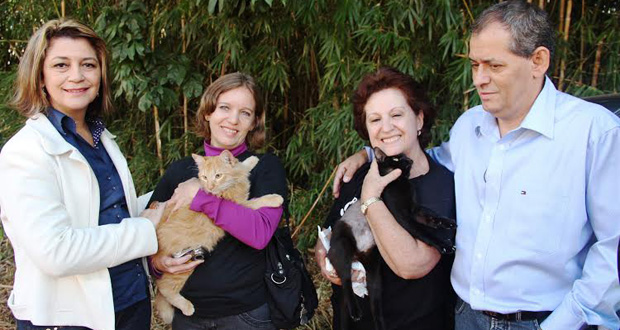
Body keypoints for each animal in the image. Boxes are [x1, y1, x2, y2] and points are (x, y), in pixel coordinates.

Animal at [153, 150, 284, 324]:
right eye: (204, 177)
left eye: (218, 176)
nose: (210, 187)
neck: (232, 183)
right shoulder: (241, 206)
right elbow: (258, 201)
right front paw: (275, 198)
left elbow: (242, 166)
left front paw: (251, 160)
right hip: (182, 265)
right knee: (165, 288)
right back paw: (187, 307)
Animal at [330, 148, 456, 330]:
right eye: (397, 158)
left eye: (404, 156)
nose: (409, 160)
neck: (401, 182)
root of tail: (357, 255)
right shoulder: (403, 217)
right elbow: (424, 233)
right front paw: (444, 245)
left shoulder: (415, 210)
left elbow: (432, 216)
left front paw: (448, 223)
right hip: (343, 246)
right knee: (346, 281)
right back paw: (355, 312)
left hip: (375, 274)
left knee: (375, 305)